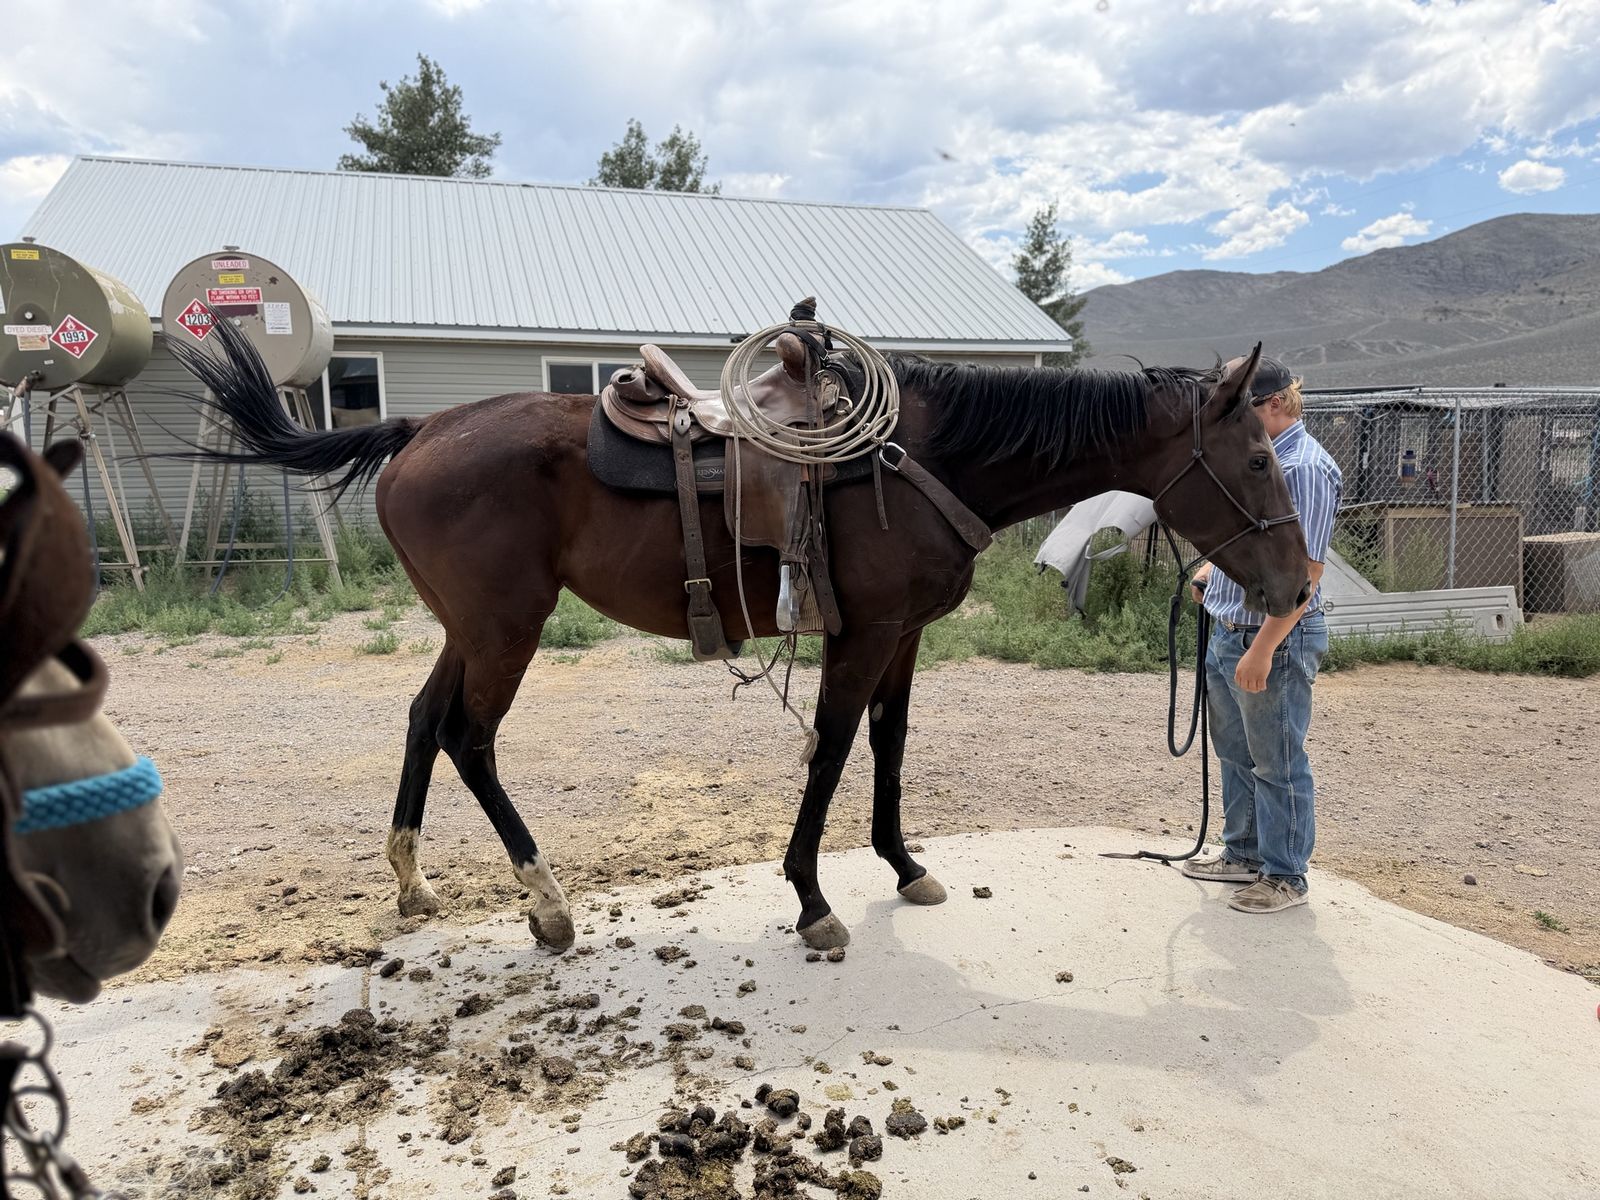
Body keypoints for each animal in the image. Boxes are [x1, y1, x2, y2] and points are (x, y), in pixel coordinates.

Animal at [173, 320, 1308, 953]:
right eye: (1256, 460)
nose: (1295, 584)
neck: (920, 458)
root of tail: (419, 430)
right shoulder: (863, 635)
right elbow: (834, 751)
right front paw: (810, 899)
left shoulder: (902, 638)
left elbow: (890, 748)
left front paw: (903, 864)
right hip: (506, 626)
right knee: (470, 738)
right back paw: (546, 904)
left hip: (471, 625)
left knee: (421, 721)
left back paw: (412, 882)